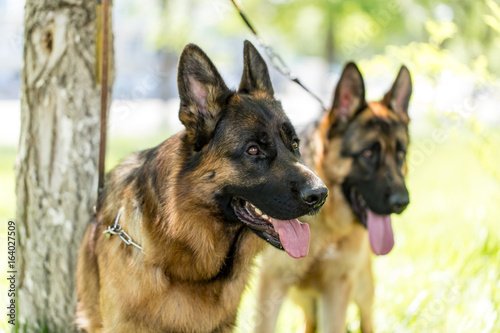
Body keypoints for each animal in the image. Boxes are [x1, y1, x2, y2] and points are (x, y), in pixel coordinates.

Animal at [256, 63, 412, 332]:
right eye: (368, 153)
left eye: (400, 154)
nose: (402, 202)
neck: (327, 223)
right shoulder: (273, 283)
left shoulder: (337, 288)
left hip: (362, 288)